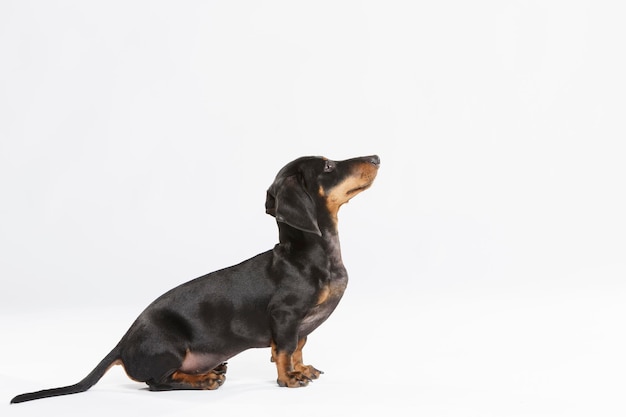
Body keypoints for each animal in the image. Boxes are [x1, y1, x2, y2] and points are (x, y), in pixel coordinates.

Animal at [11, 154, 380, 402]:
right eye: (328, 167)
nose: (376, 157)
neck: (306, 256)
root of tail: (122, 344)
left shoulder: (300, 326)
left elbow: (299, 347)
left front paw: (301, 370)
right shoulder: (286, 316)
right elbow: (286, 350)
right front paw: (288, 378)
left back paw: (209, 371)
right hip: (169, 346)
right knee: (156, 383)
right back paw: (203, 380)